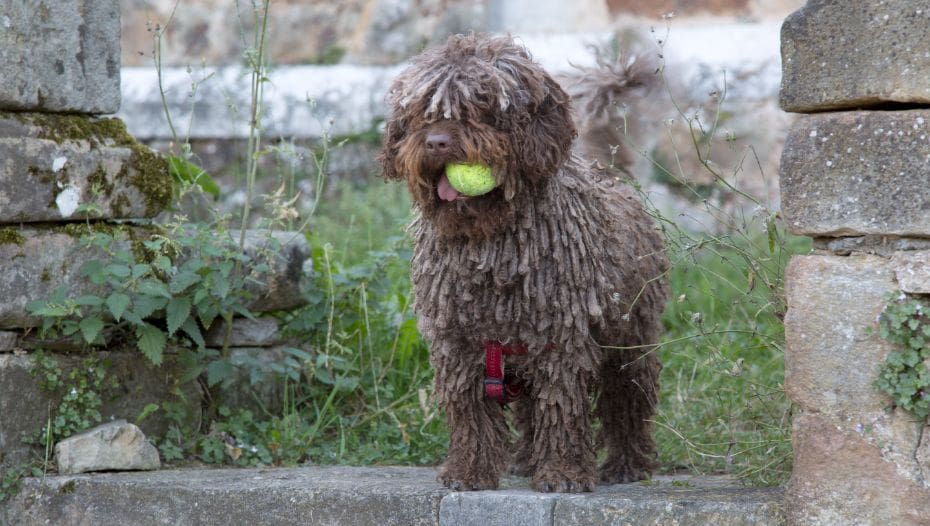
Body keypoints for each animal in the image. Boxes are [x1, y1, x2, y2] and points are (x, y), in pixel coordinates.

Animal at [376, 34, 668, 496]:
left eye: (482, 105)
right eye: (424, 110)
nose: (437, 142)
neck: (488, 245)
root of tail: (611, 174)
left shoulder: (560, 337)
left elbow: (562, 406)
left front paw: (563, 473)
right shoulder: (458, 342)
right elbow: (470, 411)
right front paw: (469, 471)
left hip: (630, 337)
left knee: (627, 399)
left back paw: (627, 464)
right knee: (533, 407)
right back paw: (529, 459)